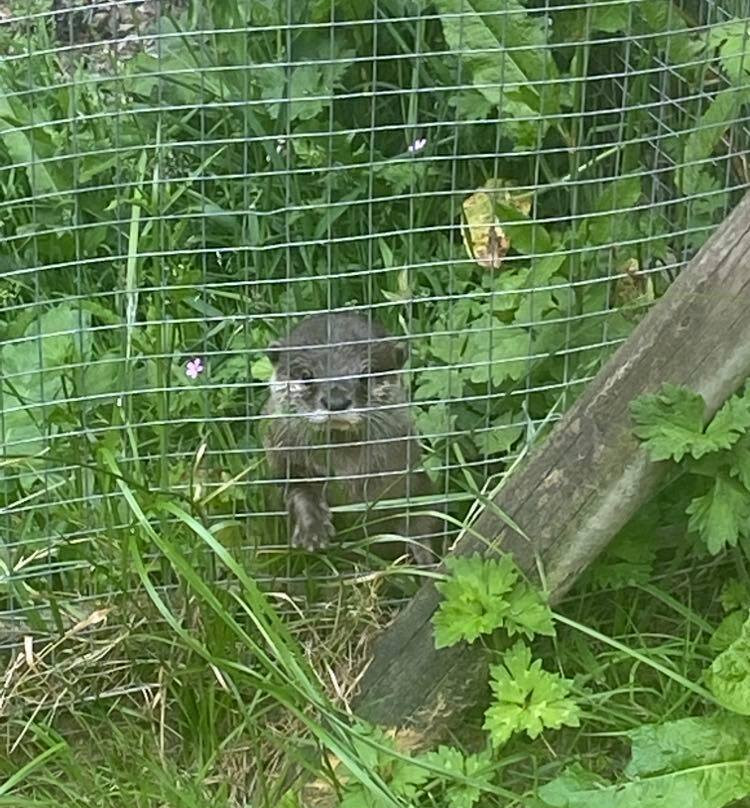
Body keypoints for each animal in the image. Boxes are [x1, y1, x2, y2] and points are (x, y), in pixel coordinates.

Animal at [262, 312, 444, 564]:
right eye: (307, 376)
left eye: (365, 376)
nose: (336, 401)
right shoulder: (281, 454)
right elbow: (297, 488)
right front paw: (312, 528)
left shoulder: (413, 475)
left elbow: (423, 517)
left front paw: (425, 560)